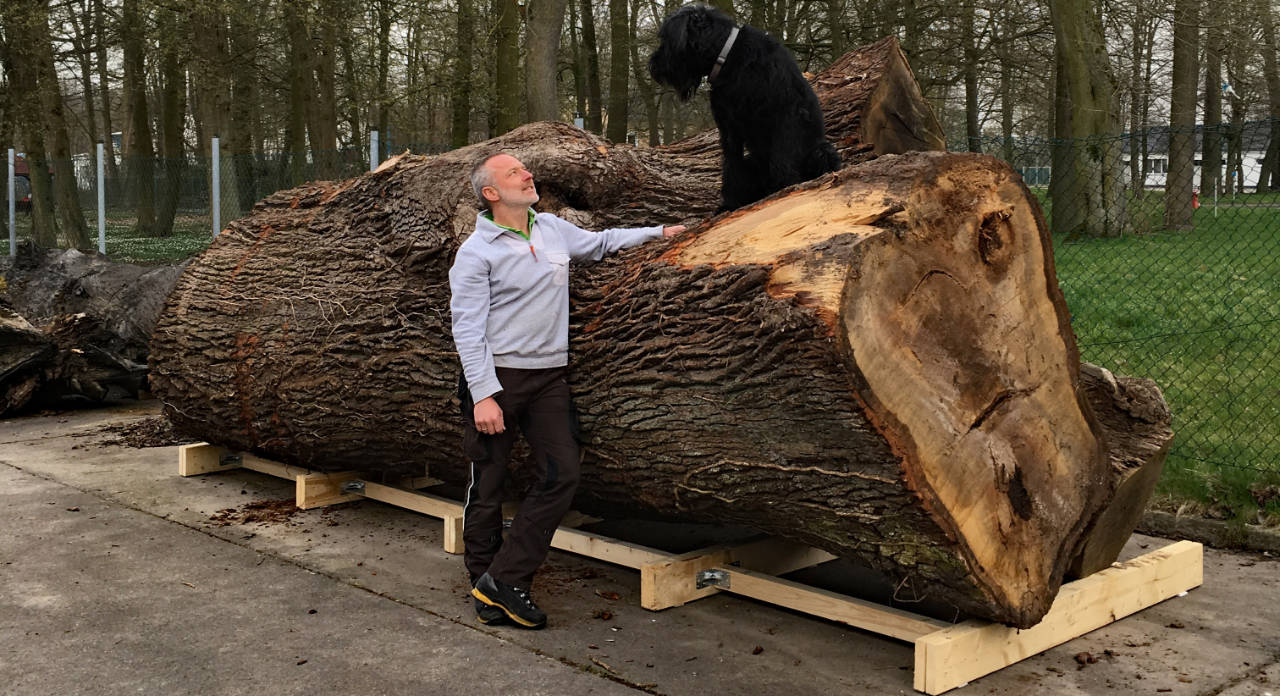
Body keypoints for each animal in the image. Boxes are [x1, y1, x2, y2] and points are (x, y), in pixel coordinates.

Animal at [650, 4, 839, 211]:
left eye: (667, 40)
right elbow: (731, 167)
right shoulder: (729, 129)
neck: (728, 57)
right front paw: (730, 204)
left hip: (822, 151)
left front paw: (785, 191)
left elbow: (782, 162)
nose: (653, 65)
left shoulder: (787, 118)